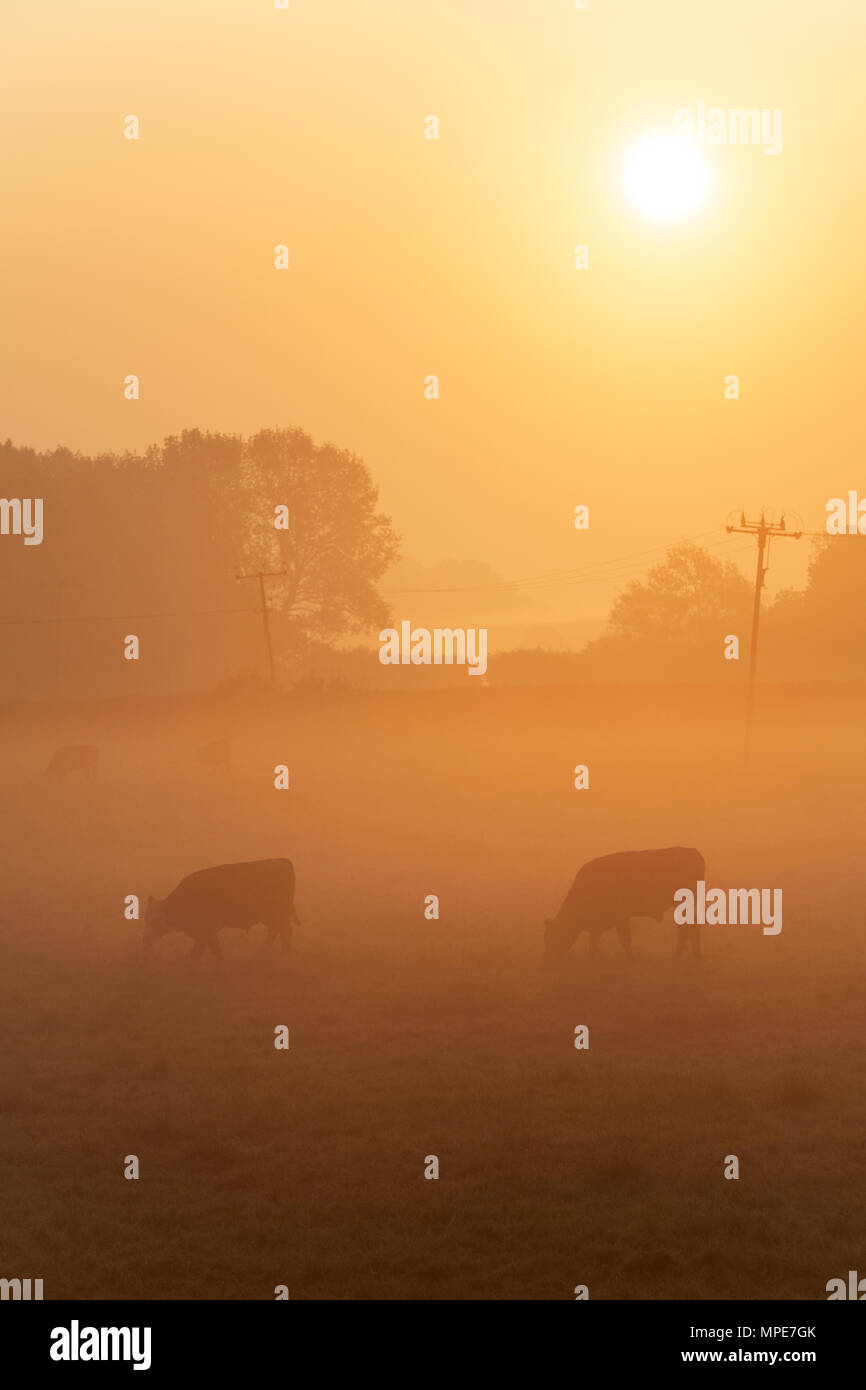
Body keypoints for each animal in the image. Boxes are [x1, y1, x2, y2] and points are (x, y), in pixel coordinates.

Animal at [143, 856, 300, 967]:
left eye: (155, 919)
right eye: (146, 918)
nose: (146, 939)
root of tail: (281, 860)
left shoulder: (207, 929)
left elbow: (204, 950)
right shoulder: (206, 932)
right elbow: (207, 949)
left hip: (279, 913)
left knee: (285, 930)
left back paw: (283, 955)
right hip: (269, 916)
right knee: (275, 930)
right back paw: (263, 952)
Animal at [544, 839, 708, 961]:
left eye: (552, 935)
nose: (546, 959)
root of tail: (693, 851)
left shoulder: (620, 917)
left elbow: (624, 938)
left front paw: (631, 958)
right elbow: (594, 941)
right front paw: (591, 958)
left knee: (687, 928)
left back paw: (682, 955)